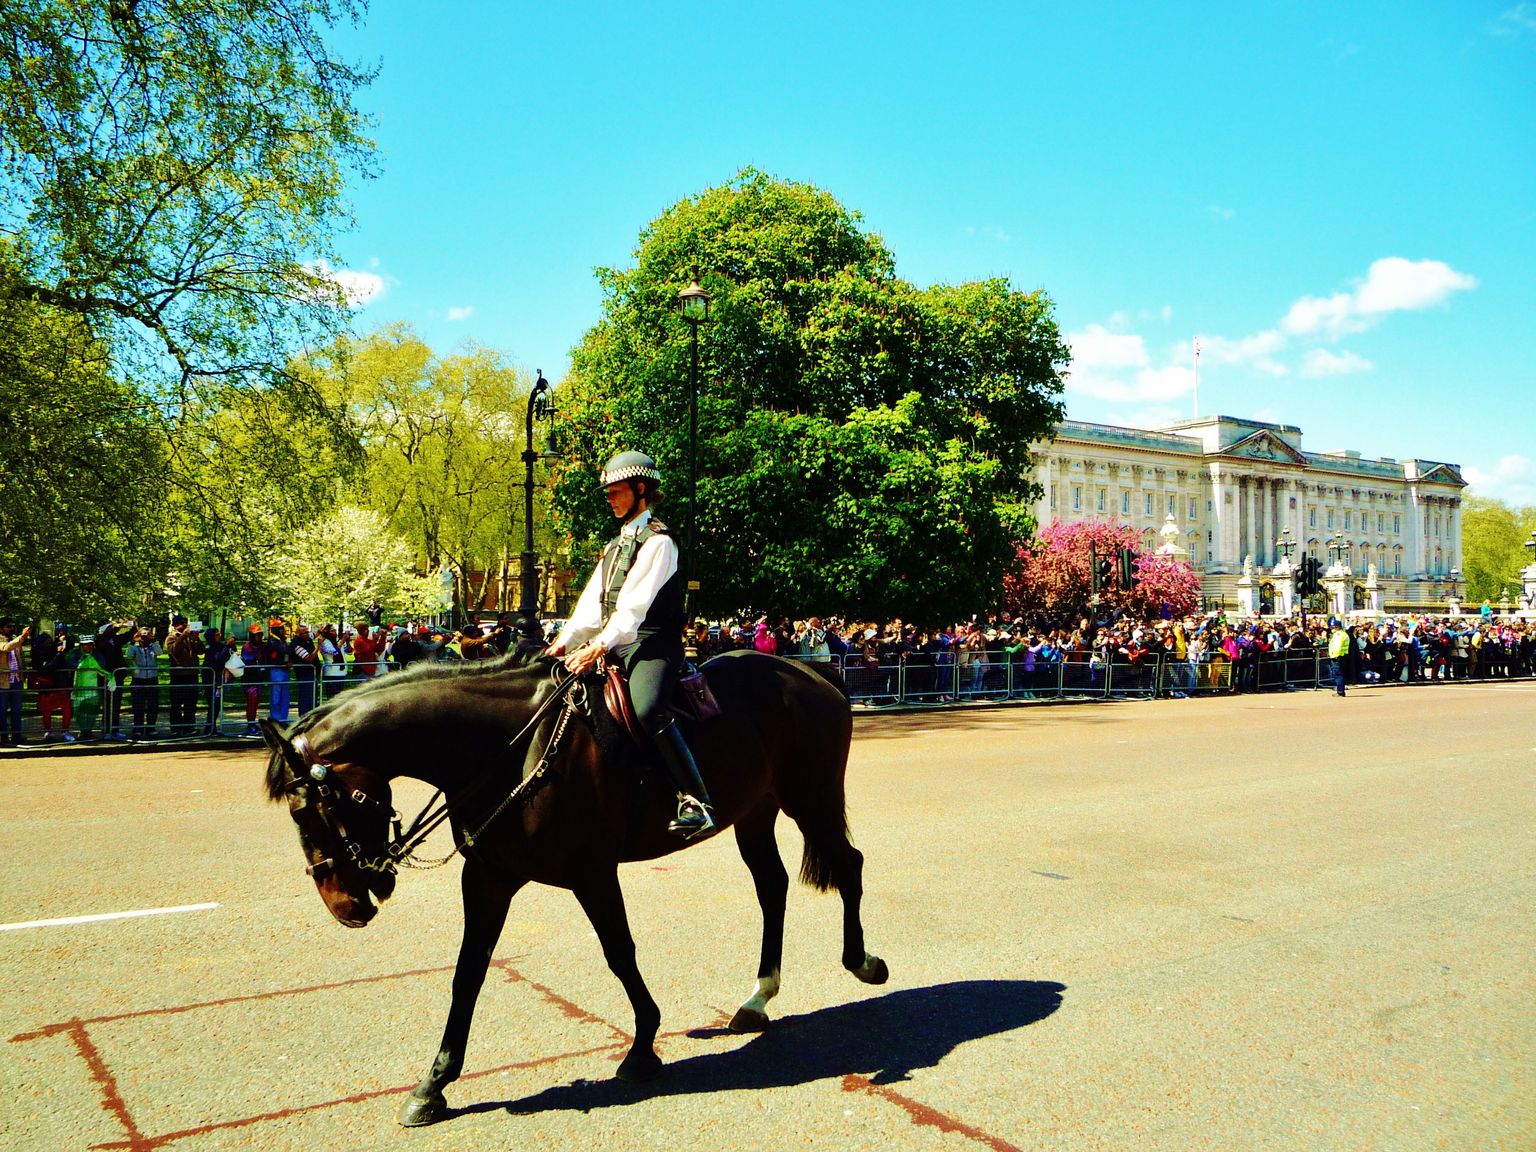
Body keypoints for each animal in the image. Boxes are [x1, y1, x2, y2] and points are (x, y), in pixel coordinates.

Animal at [262, 654, 890, 1130]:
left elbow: (619, 953)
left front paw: (642, 1045)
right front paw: (434, 1083)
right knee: (772, 887)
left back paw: (861, 961)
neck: (508, 751)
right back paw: (759, 996)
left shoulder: (592, 872)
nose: (345, 907)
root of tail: (808, 669)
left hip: (810, 797)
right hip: (755, 811)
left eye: (308, 809)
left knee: (850, 866)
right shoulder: (488, 878)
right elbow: (469, 972)